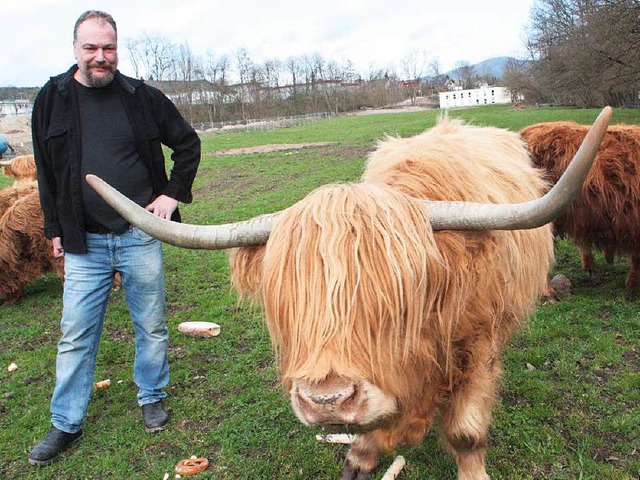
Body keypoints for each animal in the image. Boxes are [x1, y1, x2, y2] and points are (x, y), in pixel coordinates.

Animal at [85, 107, 608, 478]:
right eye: (290, 300)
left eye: (400, 296)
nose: (327, 401)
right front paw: (360, 457)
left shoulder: (480, 348)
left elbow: (465, 431)